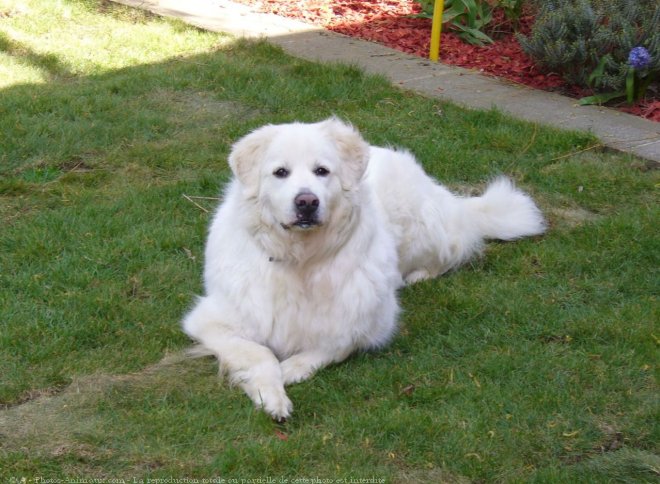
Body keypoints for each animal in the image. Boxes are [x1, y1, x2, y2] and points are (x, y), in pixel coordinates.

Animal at [182, 117, 548, 420]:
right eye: (280, 173)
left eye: (322, 171)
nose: (307, 202)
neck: (302, 261)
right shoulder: (211, 320)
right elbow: (259, 353)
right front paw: (271, 395)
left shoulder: (373, 322)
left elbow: (334, 345)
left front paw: (293, 369)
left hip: (419, 229)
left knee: (452, 250)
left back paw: (417, 275)